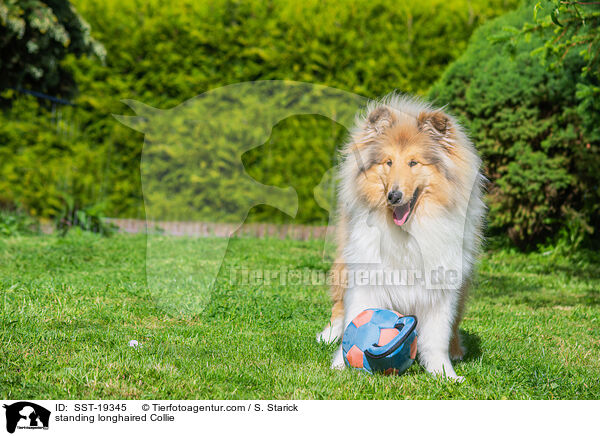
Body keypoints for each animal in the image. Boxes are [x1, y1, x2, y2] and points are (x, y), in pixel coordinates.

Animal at [316, 93, 486, 380]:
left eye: (413, 162)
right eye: (388, 162)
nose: (393, 196)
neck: (407, 231)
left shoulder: (441, 286)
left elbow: (437, 337)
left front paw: (445, 374)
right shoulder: (367, 276)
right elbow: (356, 317)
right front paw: (341, 363)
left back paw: (456, 351)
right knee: (338, 305)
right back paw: (328, 336)